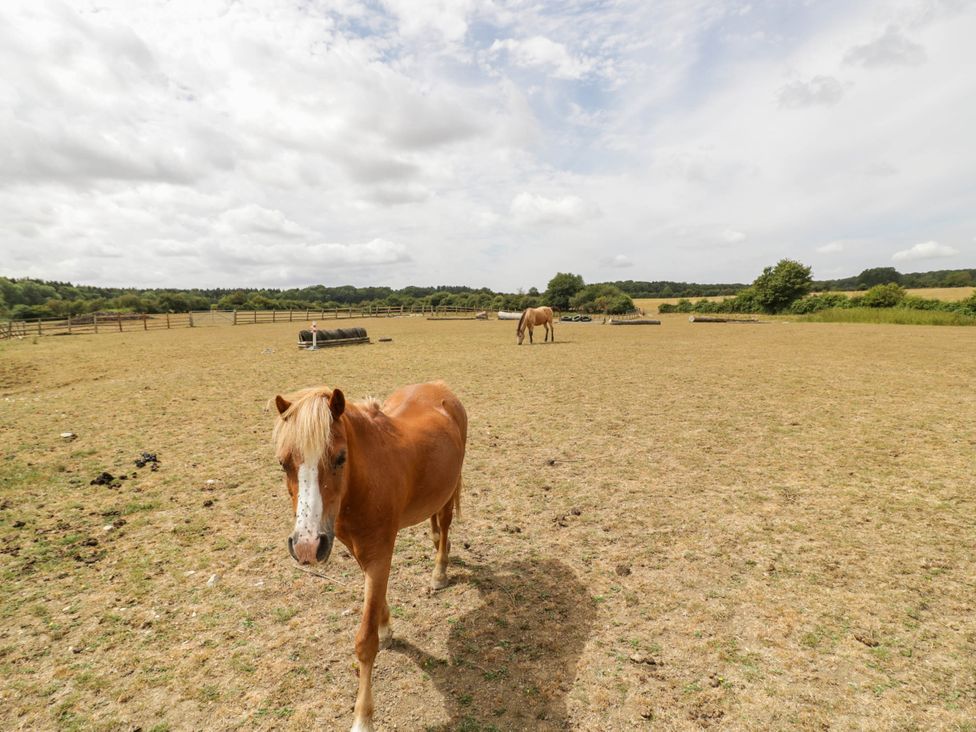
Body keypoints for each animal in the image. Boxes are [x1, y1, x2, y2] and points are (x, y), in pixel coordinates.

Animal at [271, 381, 467, 732]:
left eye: (340, 457)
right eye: (283, 463)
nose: (307, 546)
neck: (363, 482)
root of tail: (440, 387)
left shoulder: (379, 554)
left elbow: (364, 643)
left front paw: (362, 719)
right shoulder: (362, 552)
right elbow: (378, 601)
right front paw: (386, 628)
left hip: (449, 491)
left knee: (445, 526)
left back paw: (440, 571)